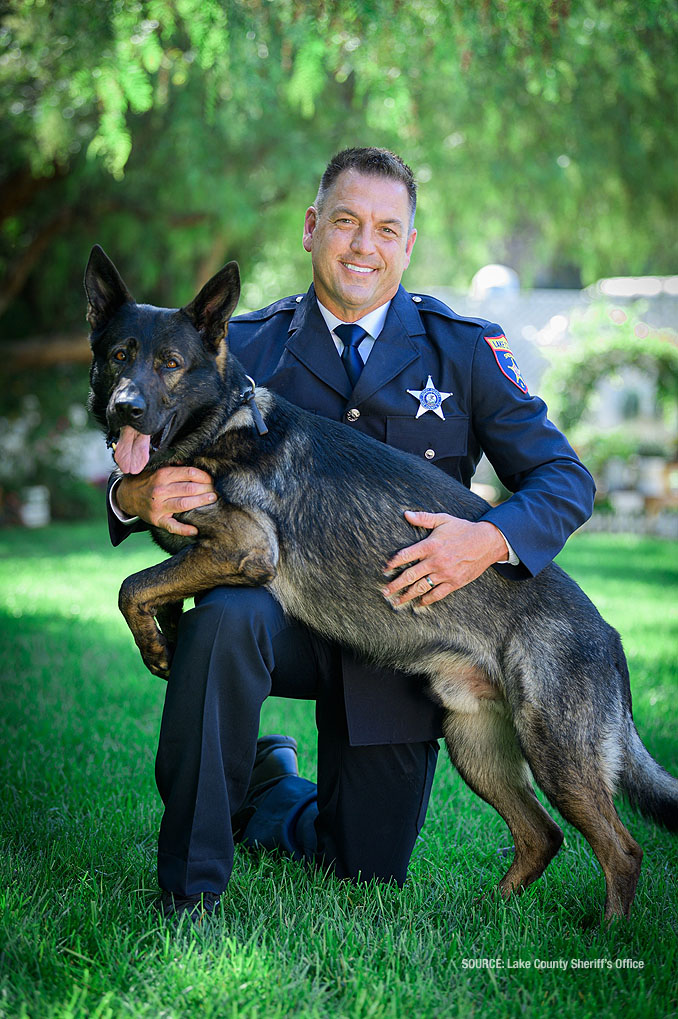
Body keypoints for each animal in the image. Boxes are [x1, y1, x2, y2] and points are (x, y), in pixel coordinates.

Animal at [86, 244, 676, 925]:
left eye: (171, 364)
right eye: (118, 356)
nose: (125, 409)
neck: (221, 422)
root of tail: (610, 636)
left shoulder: (244, 548)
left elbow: (132, 584)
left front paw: (157, 642)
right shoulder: (201, 552)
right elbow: (159, 591)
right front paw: (167, 643)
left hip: (554, 752)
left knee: (621, 849)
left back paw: (605, 934)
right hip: (477, 747)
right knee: (541, 835)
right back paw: (487, 914)